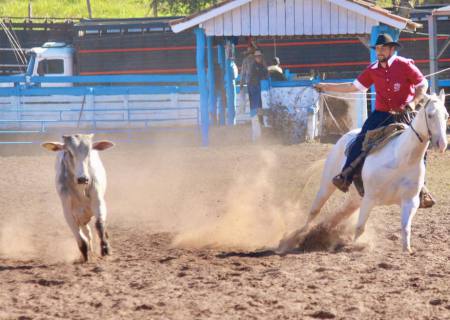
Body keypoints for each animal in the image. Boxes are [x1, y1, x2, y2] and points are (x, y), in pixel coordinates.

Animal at [280, 89, 448, 252]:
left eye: (446, 115)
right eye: (430, 115)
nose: (442, 144)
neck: (402, 158)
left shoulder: (410, 201)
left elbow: (405, 228)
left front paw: (407, 250)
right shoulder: (370, 197)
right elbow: (360, 227)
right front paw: (355, 246)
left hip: (355, 198)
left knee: (340, 212)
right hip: (327, 185)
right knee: (315, 210)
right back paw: (298, 236)